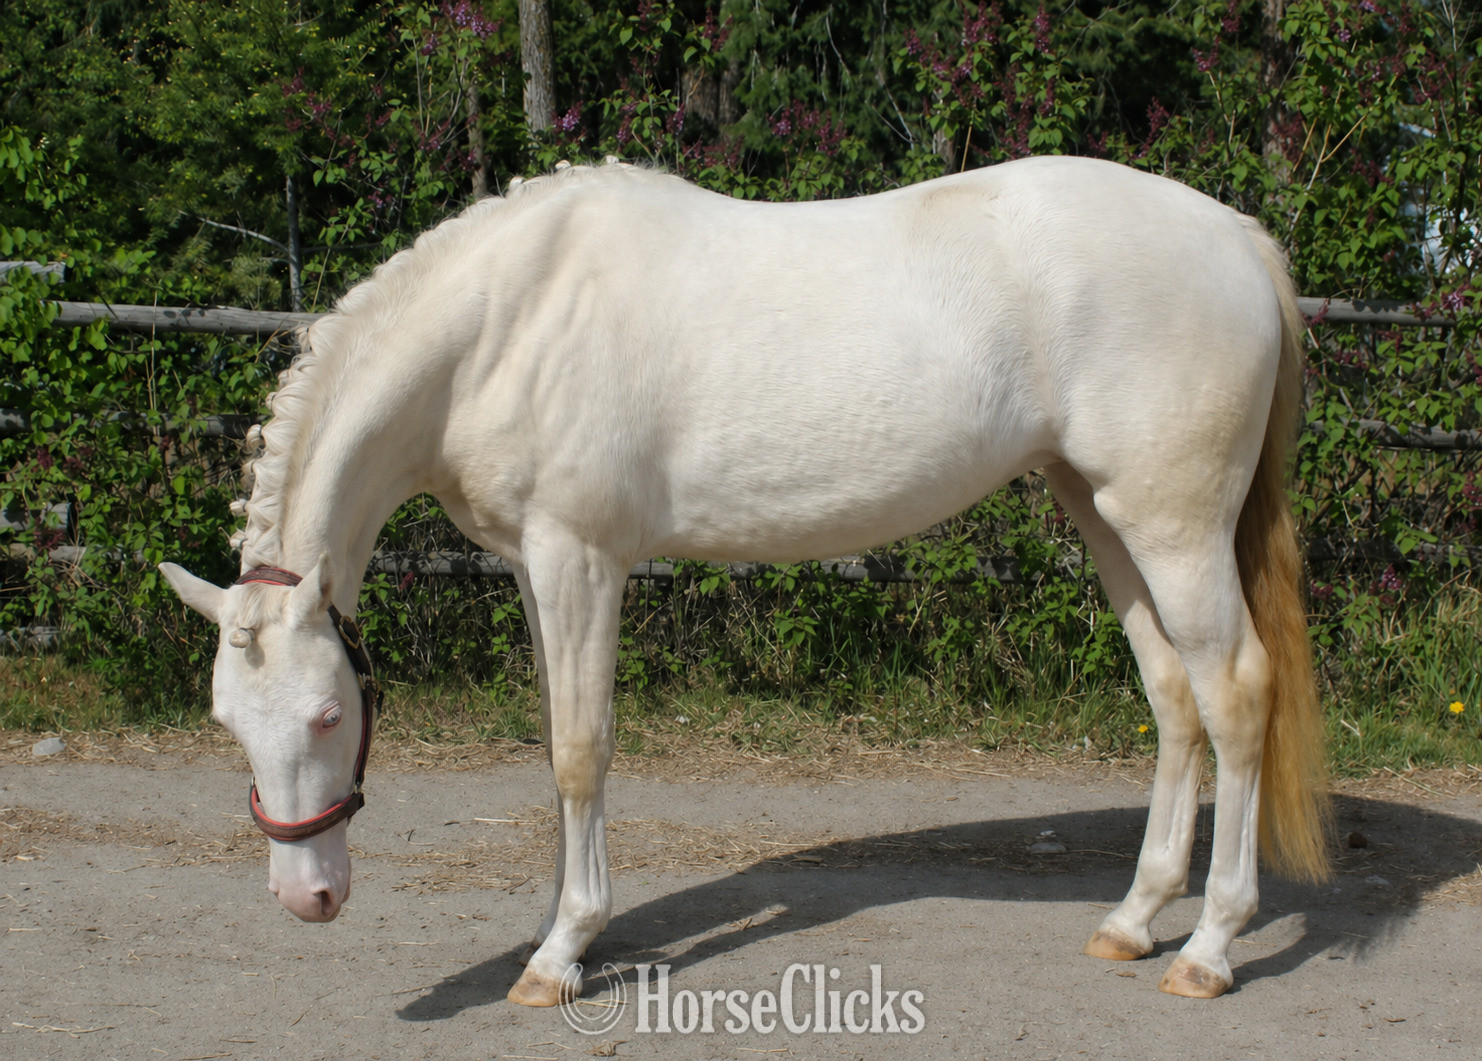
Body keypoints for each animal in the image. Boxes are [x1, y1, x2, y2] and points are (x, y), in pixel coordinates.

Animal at [160, 155, 1330, 1006]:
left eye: (327, 714)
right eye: (227, 722)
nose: (308, 895)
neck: (506, 322)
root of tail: (1235, 235)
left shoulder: (581, 557)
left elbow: (581, 750)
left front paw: (560, 952)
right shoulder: (536, 567)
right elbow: (552, 742)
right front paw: (555, 925)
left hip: (1174, 525)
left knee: (1236, 695)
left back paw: (1210, 946)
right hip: (1103, 512)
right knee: (1175, 698)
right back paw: (1133, 922)